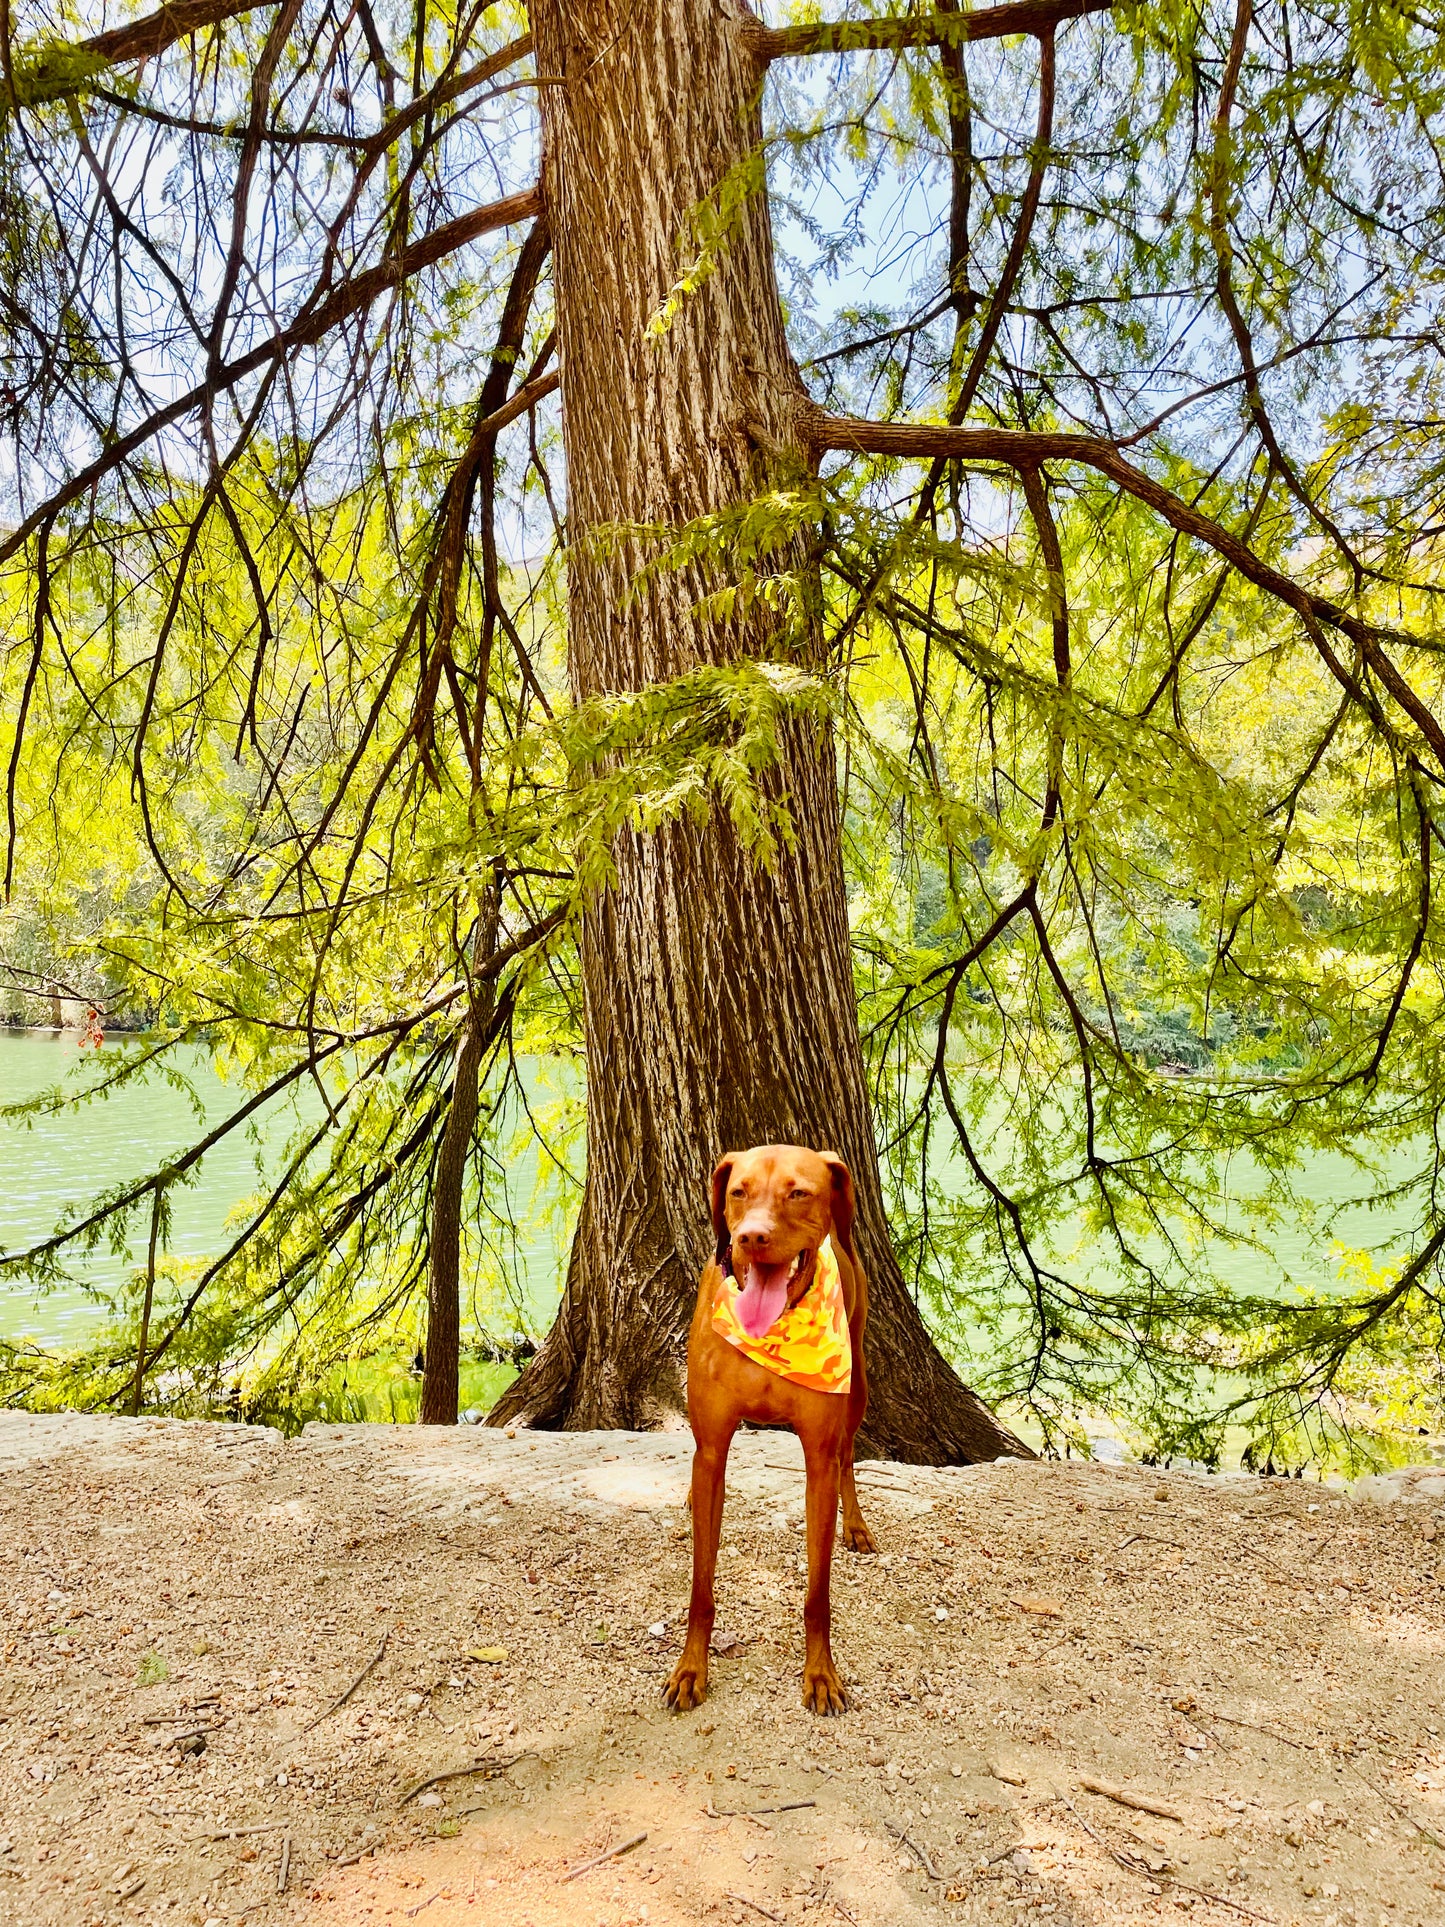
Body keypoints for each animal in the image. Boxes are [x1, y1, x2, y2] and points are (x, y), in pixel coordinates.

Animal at [662, 1140, 878, 1718]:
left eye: (798, 1193)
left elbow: (818, 1592)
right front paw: (691, 1669)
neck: (774, 1333)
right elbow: (701, 1585)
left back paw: (856, 1524)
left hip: (858, 1384)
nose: (751, 1237)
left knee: (849, 1455)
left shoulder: (818, 1455)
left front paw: (821, 1674)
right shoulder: (712, 1446)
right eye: (738, 1192)